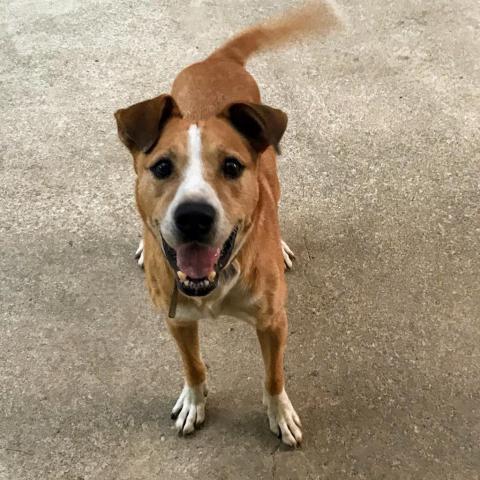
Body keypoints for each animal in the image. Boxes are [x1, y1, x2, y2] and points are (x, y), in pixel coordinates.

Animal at [115, 2, 342, 446]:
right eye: (162, 167)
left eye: (232, 166)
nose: (194, 217)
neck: (216, 279)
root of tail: (217, 60)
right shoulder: (178, 320)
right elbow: (193, 366)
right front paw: (194, 401)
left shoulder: (273, 322)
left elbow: (273, 377)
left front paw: (279, 414)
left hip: (273, 169)